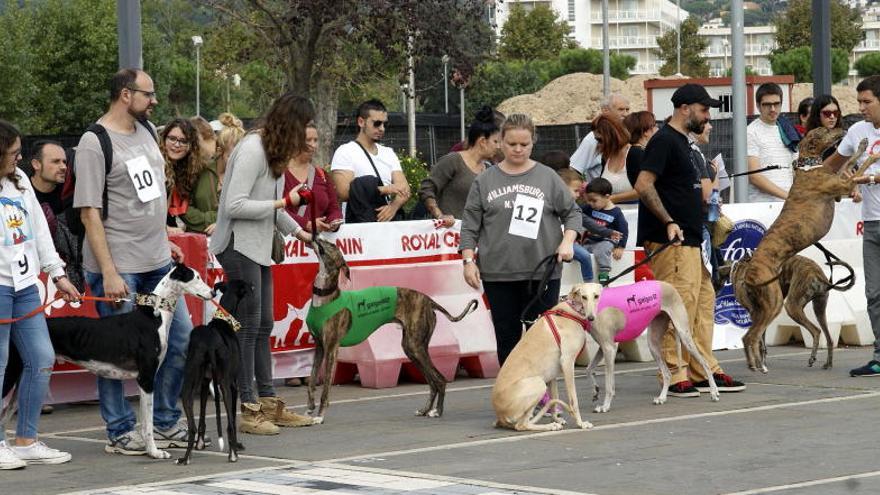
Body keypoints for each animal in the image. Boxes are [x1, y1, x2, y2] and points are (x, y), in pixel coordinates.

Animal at [175, 280, 251, 466]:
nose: (253, 287)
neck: (222, 320)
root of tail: (209, 341)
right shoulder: (233, 385)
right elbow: (232, 418)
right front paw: (236, 445)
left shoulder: (204, 383)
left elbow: (202, 414)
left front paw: (200, 444)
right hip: (224, 384)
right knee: (229, 424)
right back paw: (233, 454)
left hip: (189, 384)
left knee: (192, 426)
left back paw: (186, 457)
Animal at [306, 238, 478, 424]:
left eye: (331, 245)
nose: (315, 236)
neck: (325, 296)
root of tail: (429, 300)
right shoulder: (320, 348)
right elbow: (311, 380)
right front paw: (310, 408)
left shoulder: (331, 349)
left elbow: (325, 388)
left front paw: (320, 416)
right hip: (412, 348)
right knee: (432, 382)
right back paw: (425, 410)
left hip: (415, 346)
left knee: (439, 379)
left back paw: (437, 411)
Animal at [492, 284, 596, 432]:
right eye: (584, 297)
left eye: (596, 296)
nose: (591, 317)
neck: (570, 311)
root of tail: (500, 415)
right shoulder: (567, 363)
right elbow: (573, 400)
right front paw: (580, 423)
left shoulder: (553, 374)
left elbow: (555, 399)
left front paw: (557, 418)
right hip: (538, 384)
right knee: (521, 425)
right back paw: (550, 426)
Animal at [584, 280, 720, 412]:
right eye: (583, 296)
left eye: (595, 296)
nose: (590, 317)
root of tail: (670, 286)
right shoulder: (603, 347)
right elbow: (589, 369)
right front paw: (595, 392)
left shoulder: (610, 348)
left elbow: (609, 385)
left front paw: (605, 406)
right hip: (653, 343)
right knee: (667, 373)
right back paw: (662, 398)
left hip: (684, 336)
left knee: (705, 363)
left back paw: (714, 392)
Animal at [736, 136, 872, 372]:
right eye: (824, 131)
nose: (843, 132)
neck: (809, 167)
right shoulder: (844, 186)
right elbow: (859, 167)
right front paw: (873, 155)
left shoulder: (839, 189)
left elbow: (849, 163)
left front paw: (862, 147)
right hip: (779, 304)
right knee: (751, 337)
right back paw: (757, 366)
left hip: (789, 306)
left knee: (820, 334)